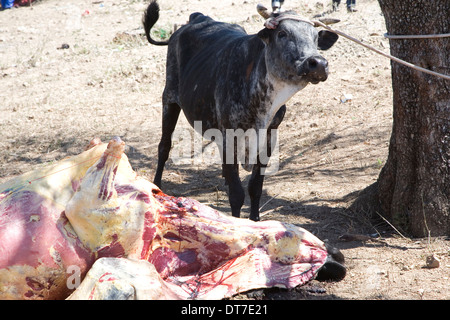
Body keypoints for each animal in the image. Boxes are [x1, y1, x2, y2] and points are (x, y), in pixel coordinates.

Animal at [143, 0, 338, 220]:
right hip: (169, 98)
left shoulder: (270, 135)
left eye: (316, 38)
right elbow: (237, 194)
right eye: (282, 33)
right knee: (164, 147)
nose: (318, 63)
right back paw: (156, 186)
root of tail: (198, 17)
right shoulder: (229, 137)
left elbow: (255, 187)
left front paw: (255, 221)